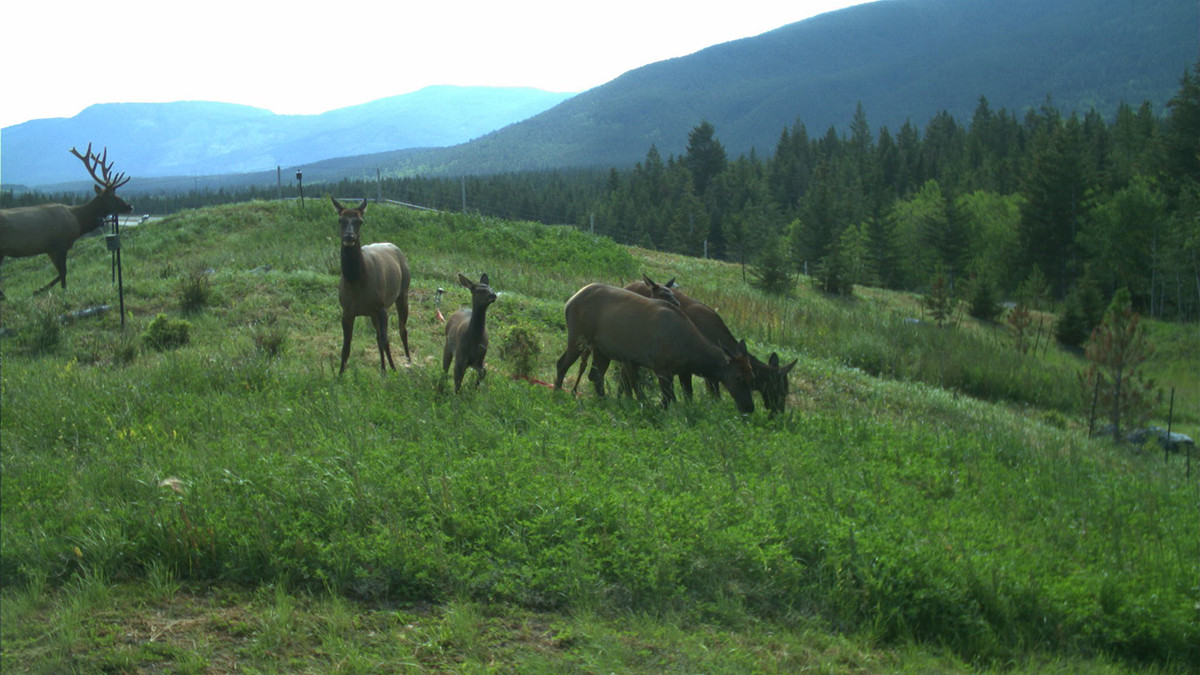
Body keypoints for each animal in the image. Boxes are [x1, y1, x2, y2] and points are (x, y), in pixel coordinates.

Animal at [0, 144, 132, 296]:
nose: (129, 206)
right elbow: (64, 272)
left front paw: (39, 290)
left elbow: (60, 273)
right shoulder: (60, 244)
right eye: (111, 196)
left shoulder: (50, 248)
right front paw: (60, 291)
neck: (78, 222)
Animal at [333, 197, 411, 374]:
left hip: (402, 292)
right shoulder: (347, 312)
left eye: (360, 221)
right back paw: (382, 369)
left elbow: (386, 340)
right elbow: (345, 347)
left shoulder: (381, 307)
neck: (356, 281)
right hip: (371, 313)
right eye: (340, 219)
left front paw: (394, 370)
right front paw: (339, 375)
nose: (349, 237)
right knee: (378, 337)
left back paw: (408, 361)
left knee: (402, 329)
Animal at [554, 283, 755, 414]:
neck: (691, 352)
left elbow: (681, 397)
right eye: (737, 377)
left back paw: (603, 402)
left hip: (602, 349)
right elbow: (667, 400)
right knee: (562, 363)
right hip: (579, 337)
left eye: (751, 377)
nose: (749, 408)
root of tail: (569, 301)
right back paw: (557, 393)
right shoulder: (662, 368)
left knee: (595, 375)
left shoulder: (678, 370)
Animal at [625, 275, 797, 415]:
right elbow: (693, 395)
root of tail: (627, 285)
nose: (779, 411)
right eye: (781, 389)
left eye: (786, 390)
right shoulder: (689, 368)